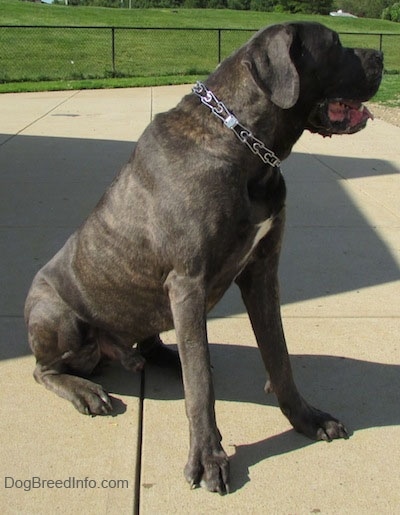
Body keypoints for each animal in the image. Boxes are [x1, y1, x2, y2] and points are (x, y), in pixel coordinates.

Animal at [24, 22, 382, 494]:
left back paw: (161, 357)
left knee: (156, 342)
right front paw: (208, 457)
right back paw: (85, 390)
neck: (245, 144)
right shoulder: (188, 282)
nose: (382, 56)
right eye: (336, 44)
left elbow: (279, 357)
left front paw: (307, 419)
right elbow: (201, 388)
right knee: (43, 370)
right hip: (56, 315)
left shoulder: (262, 272)